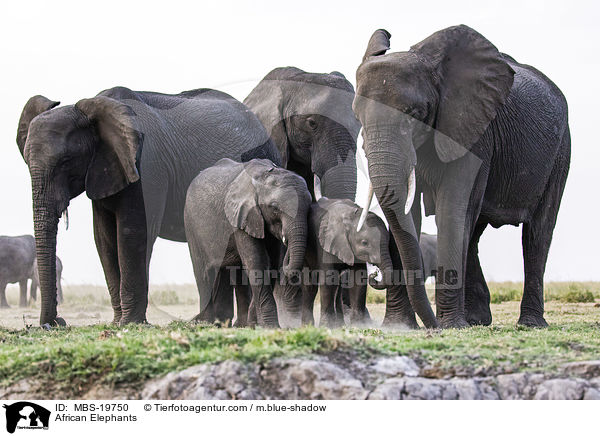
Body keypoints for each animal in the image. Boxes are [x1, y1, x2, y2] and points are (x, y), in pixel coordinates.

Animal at [17, 87, 280, 328]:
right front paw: (117, 323)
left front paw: (130, 324)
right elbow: (104, 238)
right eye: (26, 162)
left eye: (66, 162)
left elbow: (133, 233)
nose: (56, 322)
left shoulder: (147, 166)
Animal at [184, 158, 312, 328]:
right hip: (191, 223)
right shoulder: (240, 215)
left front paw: (254, 325)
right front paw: (270, 326)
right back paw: (205, 323)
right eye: (274, 208)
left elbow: (270, 263)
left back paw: (230, 324)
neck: (264, 175)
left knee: (233, 271)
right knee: (203, 271)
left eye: (309, 207)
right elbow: (257, 261)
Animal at [300, 198, 394, 328]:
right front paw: (326, 326)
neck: (351, 217)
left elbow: (358, 279)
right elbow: (328, 279)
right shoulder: (326, 242)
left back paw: (340, 325)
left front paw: (358, 325)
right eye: (364, 243)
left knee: (338, 286)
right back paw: (307, 326)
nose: (374, 273)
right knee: (310, 284)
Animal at [356, 25, 572, 328]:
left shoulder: (476, 132)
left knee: (537, 234)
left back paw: (529, 324)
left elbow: (452, 206)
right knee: (474, 230)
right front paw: (399, 326)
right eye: (357, 116)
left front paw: (450, 326)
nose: (375, 275)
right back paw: (477, 320)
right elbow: (408, 213)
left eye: (414, 114)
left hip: (560, 150)